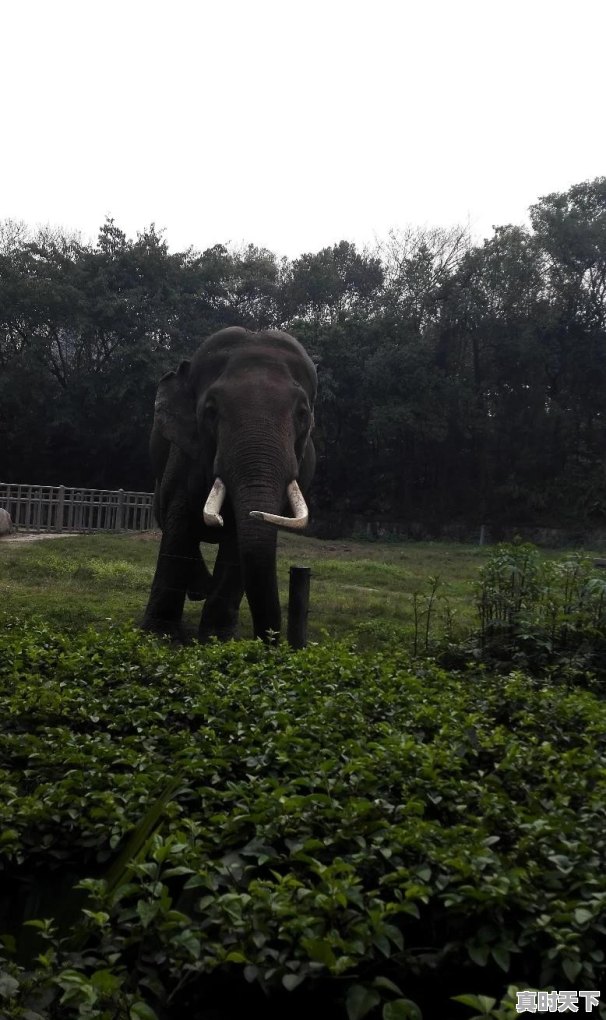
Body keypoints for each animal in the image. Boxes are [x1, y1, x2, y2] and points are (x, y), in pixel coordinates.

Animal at [140, 326, 316, 640]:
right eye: (210, 411)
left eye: (303, 414)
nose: (270, 640)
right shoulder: (183, 455)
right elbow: (179, 522)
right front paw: (158, 634)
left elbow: (237, 539)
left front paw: (217, 637)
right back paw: (200, 589)